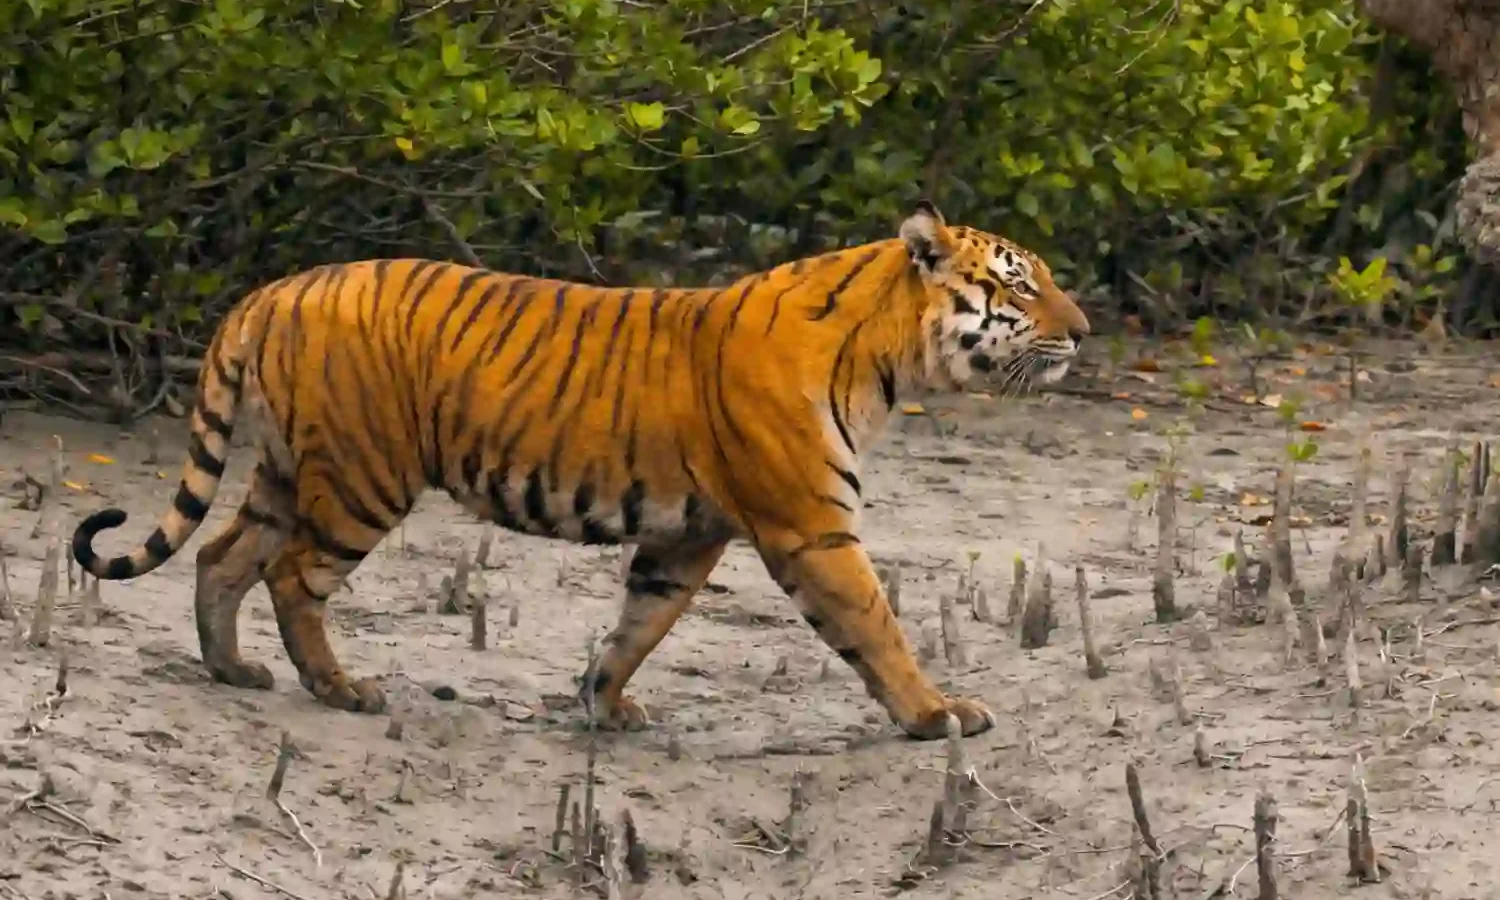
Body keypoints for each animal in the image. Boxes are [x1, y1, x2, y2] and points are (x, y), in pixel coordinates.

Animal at [71, 200, 1089, 741]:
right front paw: (937, 715)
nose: (1082, 332)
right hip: (362, 478)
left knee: (220, 559)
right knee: (290, 578)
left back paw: (231, 670)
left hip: (290, 474)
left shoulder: (688, 535)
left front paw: (604, 703)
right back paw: (341, 690)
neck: (887, 355)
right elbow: (878, 628)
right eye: (1020, 283)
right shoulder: (812, 529)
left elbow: (641, 624)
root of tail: (275, 287)